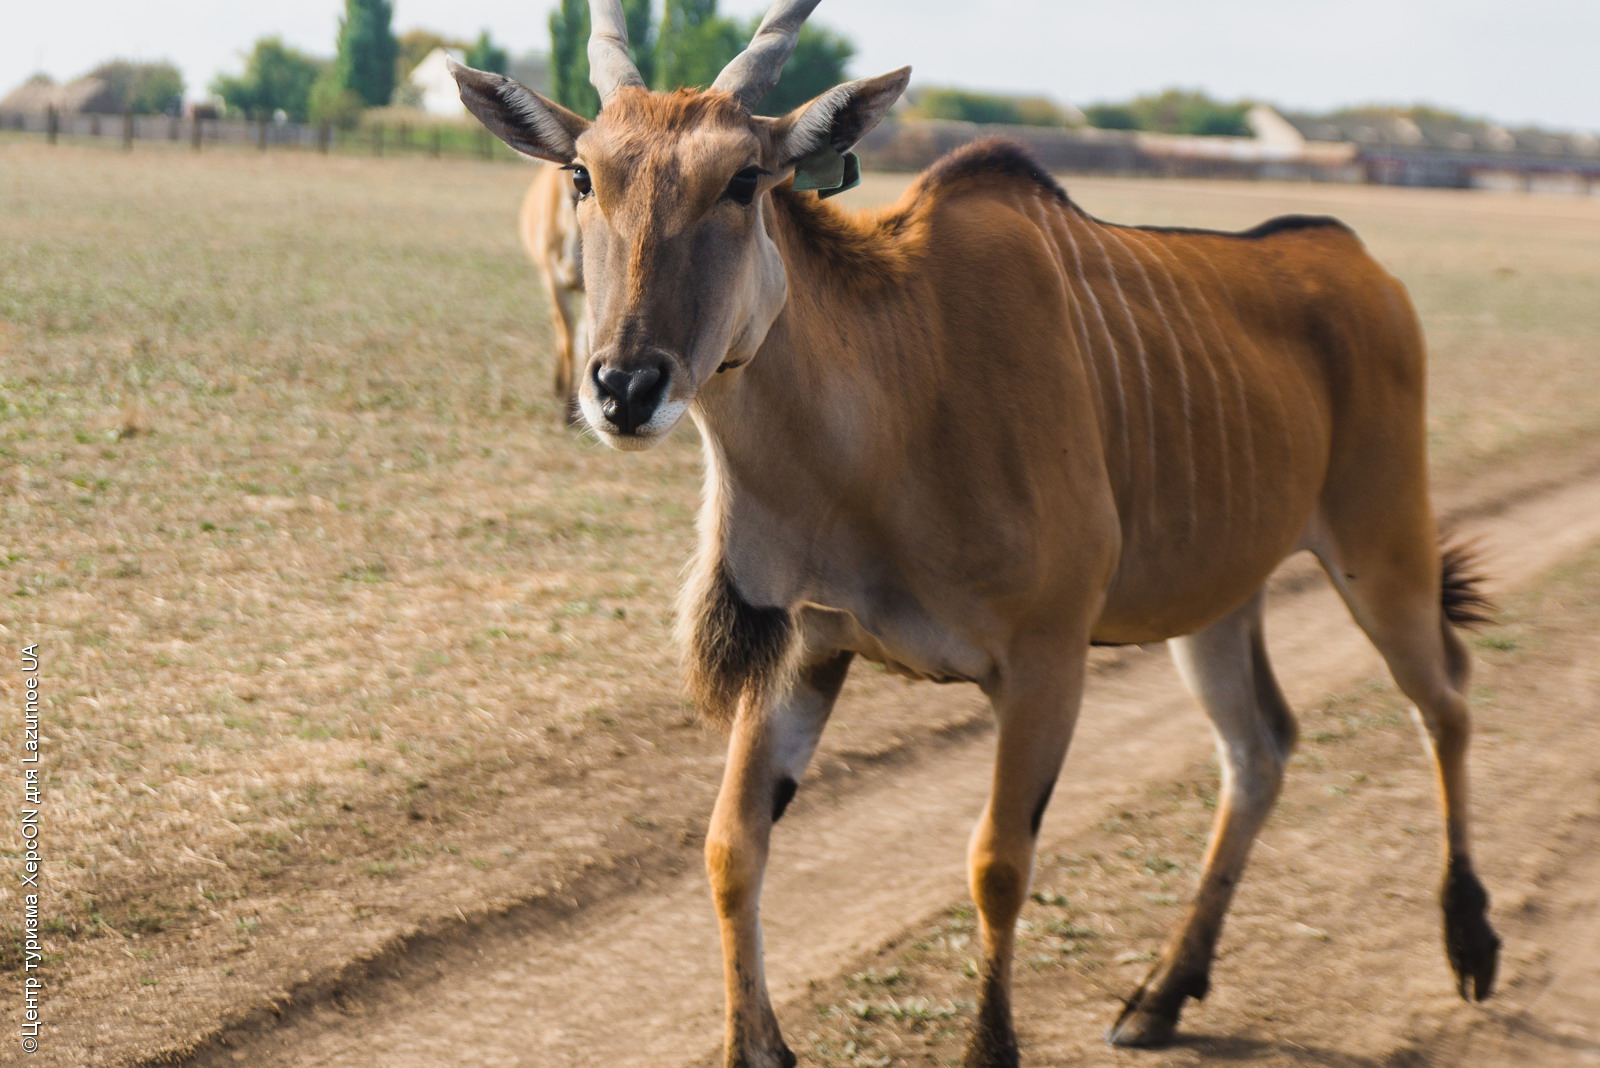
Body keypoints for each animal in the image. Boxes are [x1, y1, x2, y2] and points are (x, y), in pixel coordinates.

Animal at [448, 4, 1497, 1061]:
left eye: (744, 180)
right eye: (585, 175)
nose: (624, 387)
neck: (900, 394)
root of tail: (1353, 258)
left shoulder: (1045, 663)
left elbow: (997, 862)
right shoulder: (808, 652)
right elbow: (730, 844)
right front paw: (759, 1043)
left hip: (1382, 549)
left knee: (1443, 698)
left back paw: (1470, 943)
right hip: (1217, 601)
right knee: (1259, 748)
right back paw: (1164, 993)